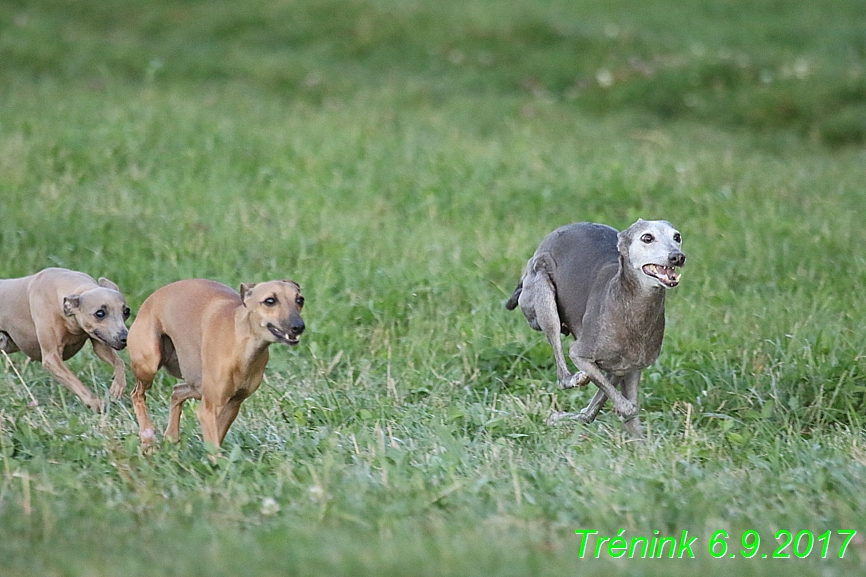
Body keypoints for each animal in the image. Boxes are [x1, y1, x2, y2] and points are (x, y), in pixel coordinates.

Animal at [0, 266, 130, 410]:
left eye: (126, 311)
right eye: (100, 313)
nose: (125, 338)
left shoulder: (100, 342)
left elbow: (119, 362)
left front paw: (118, 385)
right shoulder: (51, 358)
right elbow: (75, 381)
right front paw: (95, 403)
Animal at [126, 280, 306, 450]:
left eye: (300, 299)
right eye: (270, 301)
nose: (299, 326)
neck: (242, 345)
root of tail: (151, 298)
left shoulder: (233, 404)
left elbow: (216, 440)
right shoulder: (208, 410)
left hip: (198, 385)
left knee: (177, 391)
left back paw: (171, 437)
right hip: (149, 364)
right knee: (137, 394)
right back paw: (148, 438)